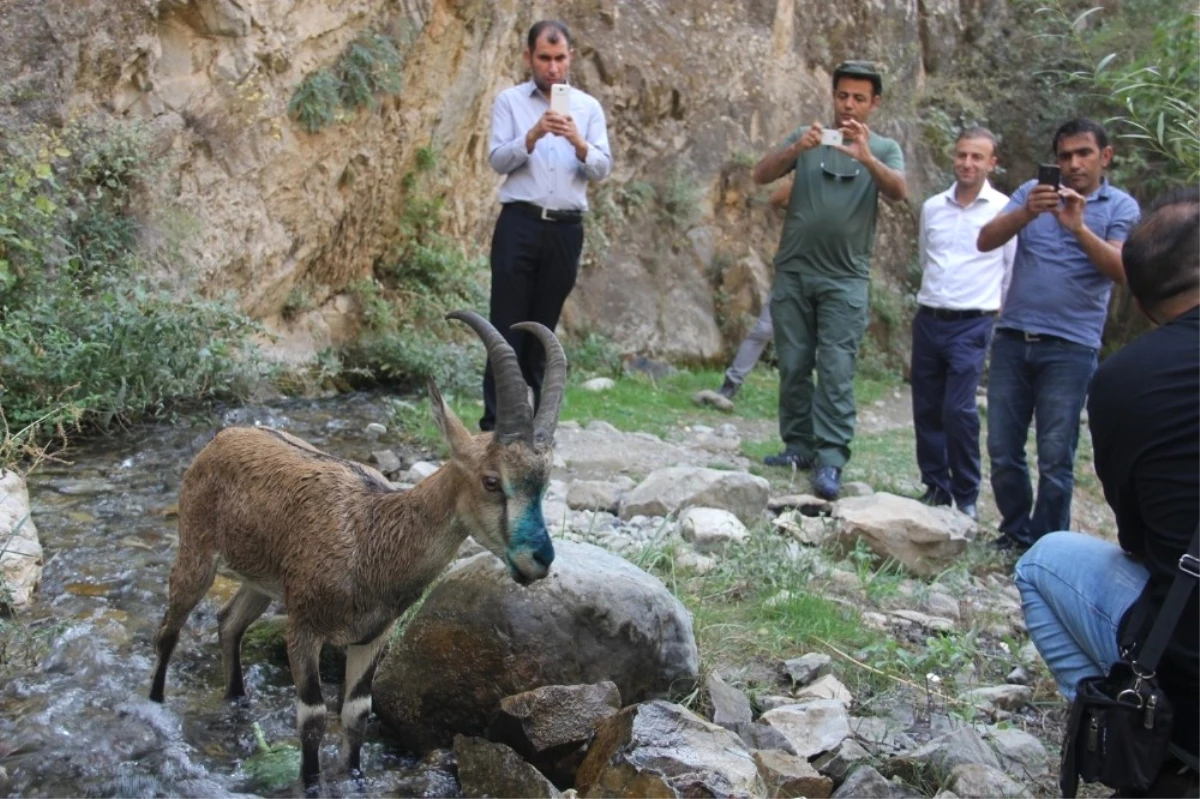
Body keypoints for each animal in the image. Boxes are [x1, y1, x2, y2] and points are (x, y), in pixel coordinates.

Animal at [148, 309, 561, 782]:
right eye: (491, 481)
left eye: (545, 483)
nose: (540, 559)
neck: (372, 539)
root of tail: (221, 437)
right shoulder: (304, 627)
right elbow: (312, 717)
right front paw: (310, 781)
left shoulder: (371, 637)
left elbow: (356, 713)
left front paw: (354, 775)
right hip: (196, 550)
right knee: (169, 630)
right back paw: (156, 703)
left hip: (262, 581)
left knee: (229, 622)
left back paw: (236, 696)